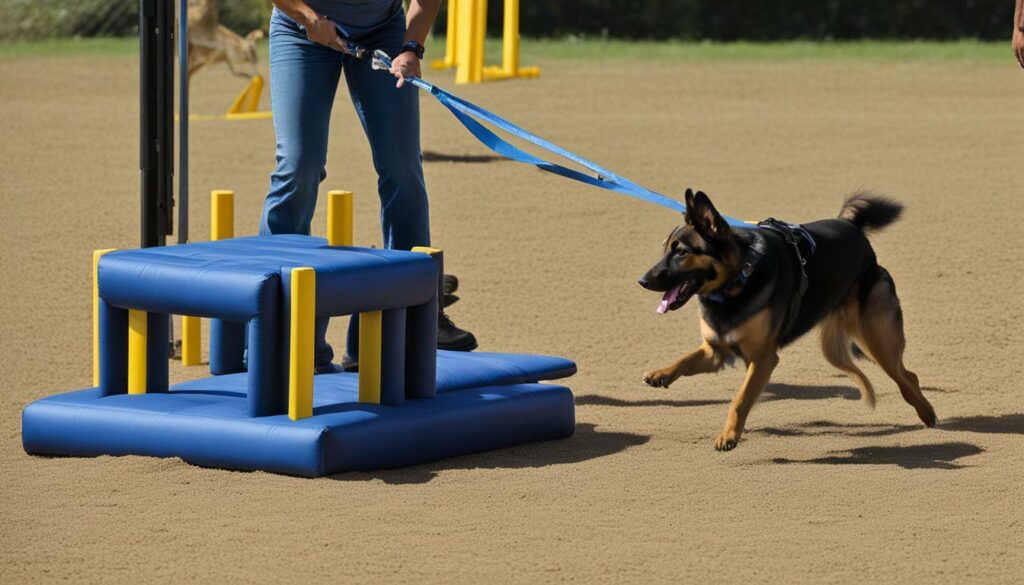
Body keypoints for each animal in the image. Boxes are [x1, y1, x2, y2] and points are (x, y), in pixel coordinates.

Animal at [638, 189, 937, 450]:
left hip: (876, 339)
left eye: (681, 252)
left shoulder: (763, 359)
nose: (642, 281)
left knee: (905, 375)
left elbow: (740, 399)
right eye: (664, 249)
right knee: (899, 374)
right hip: (836, 348)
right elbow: (685, 360)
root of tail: (853, 228)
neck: (737, 282)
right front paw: (661, 374)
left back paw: (927, 412)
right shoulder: (717, 352)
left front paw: (729, 436)